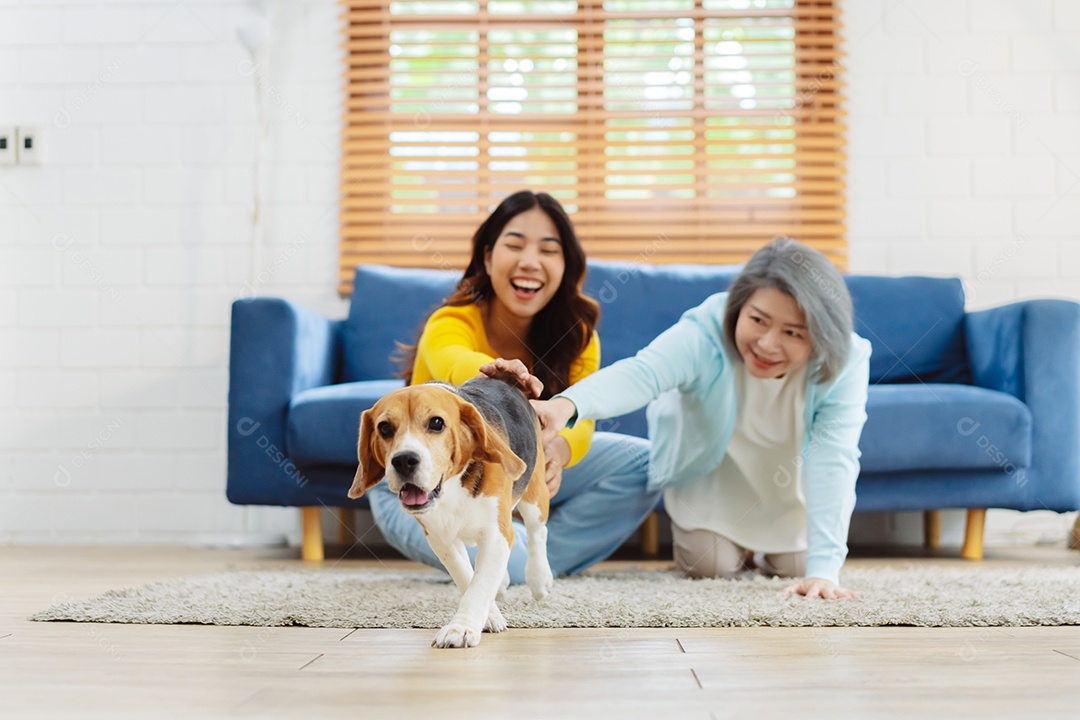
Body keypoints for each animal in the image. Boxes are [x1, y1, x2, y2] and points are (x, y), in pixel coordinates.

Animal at [347, 377, 552, 647]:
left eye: (436, 423)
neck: (450, 487)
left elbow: (480, 583)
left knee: (537, 531)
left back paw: (539, 579)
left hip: (534, 493)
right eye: (384, 428)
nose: (403, 460)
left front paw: (461, 629)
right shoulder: (440, 539)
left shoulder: (496, 533)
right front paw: (487, 616)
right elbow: (467, 577)